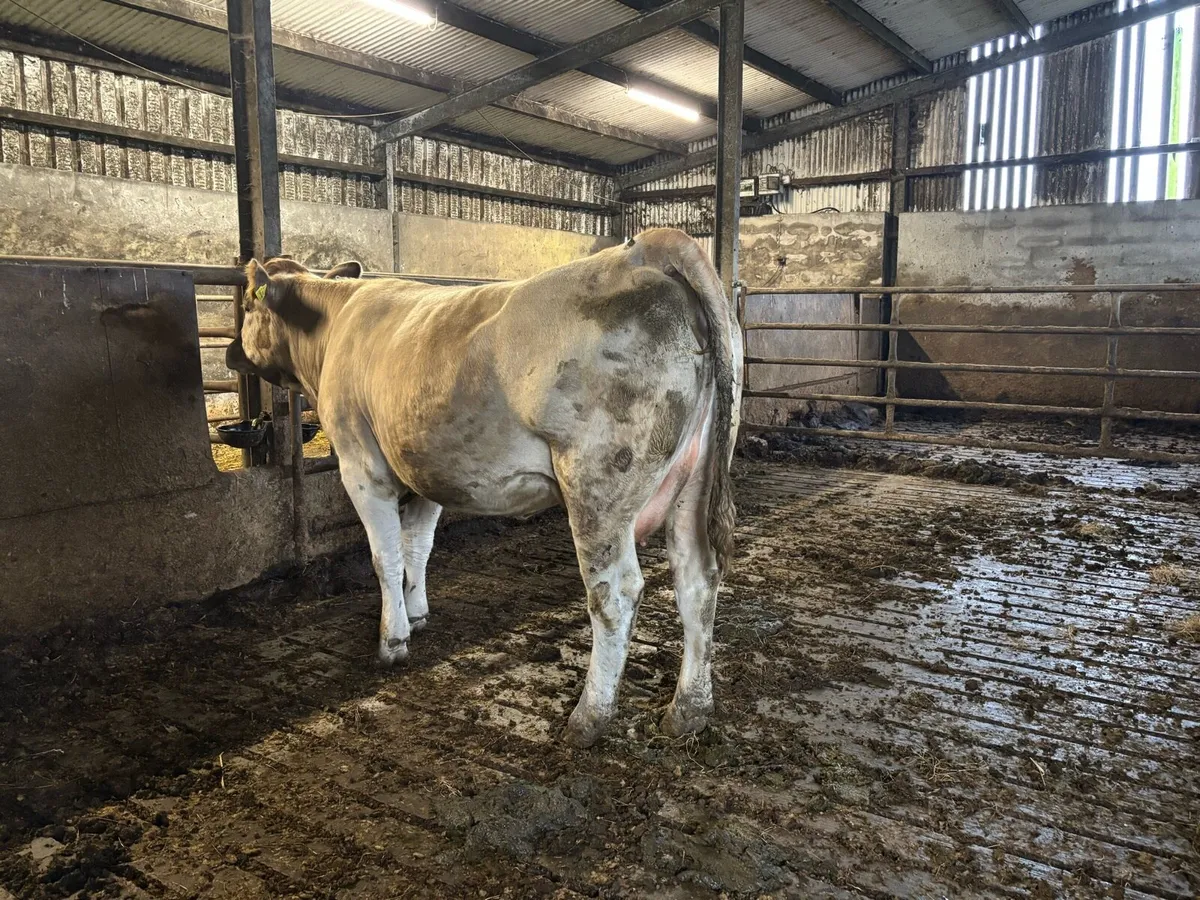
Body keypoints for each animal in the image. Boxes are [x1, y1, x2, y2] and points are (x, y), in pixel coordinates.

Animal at [226, 229, 742, 747]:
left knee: (614, 596)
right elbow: (418, 545)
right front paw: (417, 612)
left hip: (597, 487)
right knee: (697, 579)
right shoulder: (426, 466)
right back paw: (689, 710)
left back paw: (589, 717)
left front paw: (393, 639)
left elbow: (385, 556)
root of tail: (645, 250)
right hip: (695, 482)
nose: (231, 354)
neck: (332, 327)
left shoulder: (361, 463)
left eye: (247, 305)